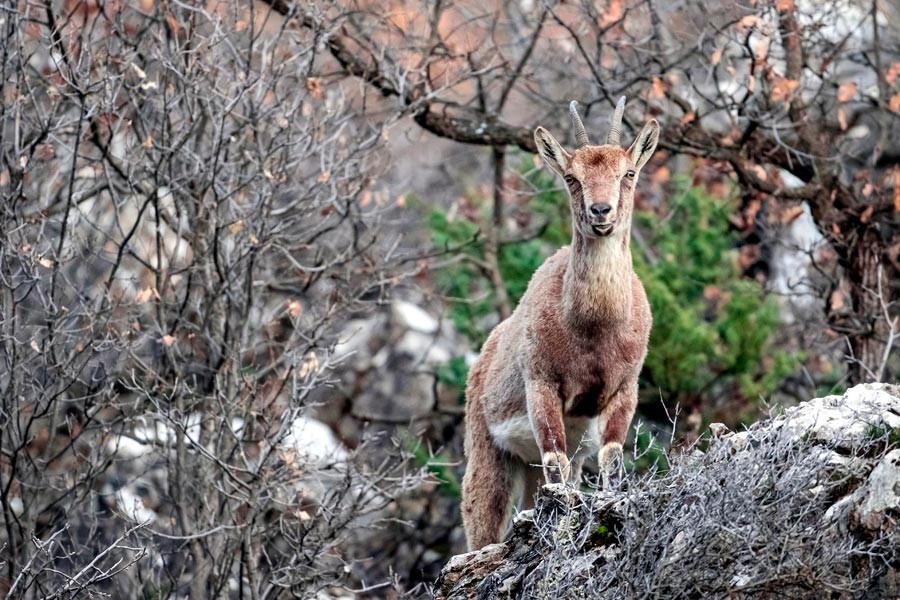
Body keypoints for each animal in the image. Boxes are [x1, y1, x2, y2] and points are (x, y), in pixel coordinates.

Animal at [460, 97, 656, 548]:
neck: (594, 328)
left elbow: (611, 457)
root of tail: (481, 361)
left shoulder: (625, 387)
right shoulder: (542, 384)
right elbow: (558, 461)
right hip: (488, 452)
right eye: (571, 177)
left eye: (628, 173)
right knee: (482, 518)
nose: (601, 211)